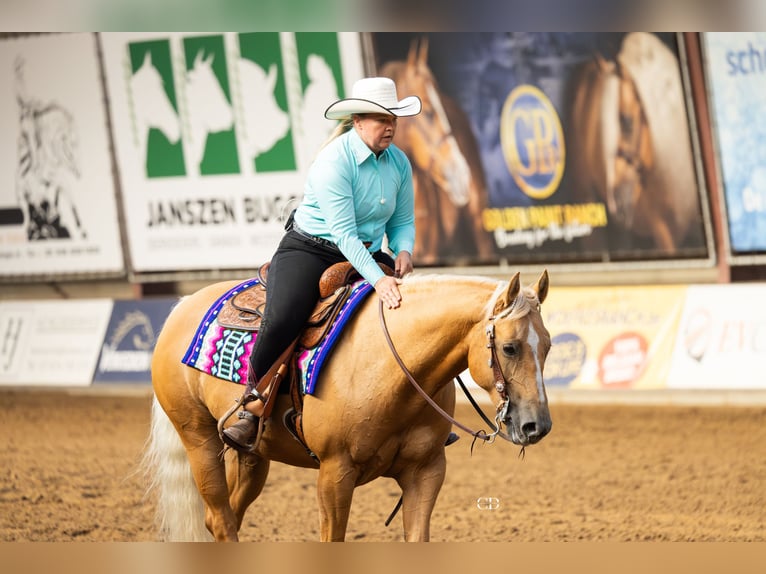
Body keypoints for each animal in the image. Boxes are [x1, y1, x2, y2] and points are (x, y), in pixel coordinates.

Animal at [144, 269, 552, 541]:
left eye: (547, 346)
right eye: (509, 347)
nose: (537, 426)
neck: (391, 365)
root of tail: (182, 306)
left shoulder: (426, 472)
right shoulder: (334, 474)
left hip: (252, 456)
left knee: (229, 514)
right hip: (199, 440)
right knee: (221, 519)